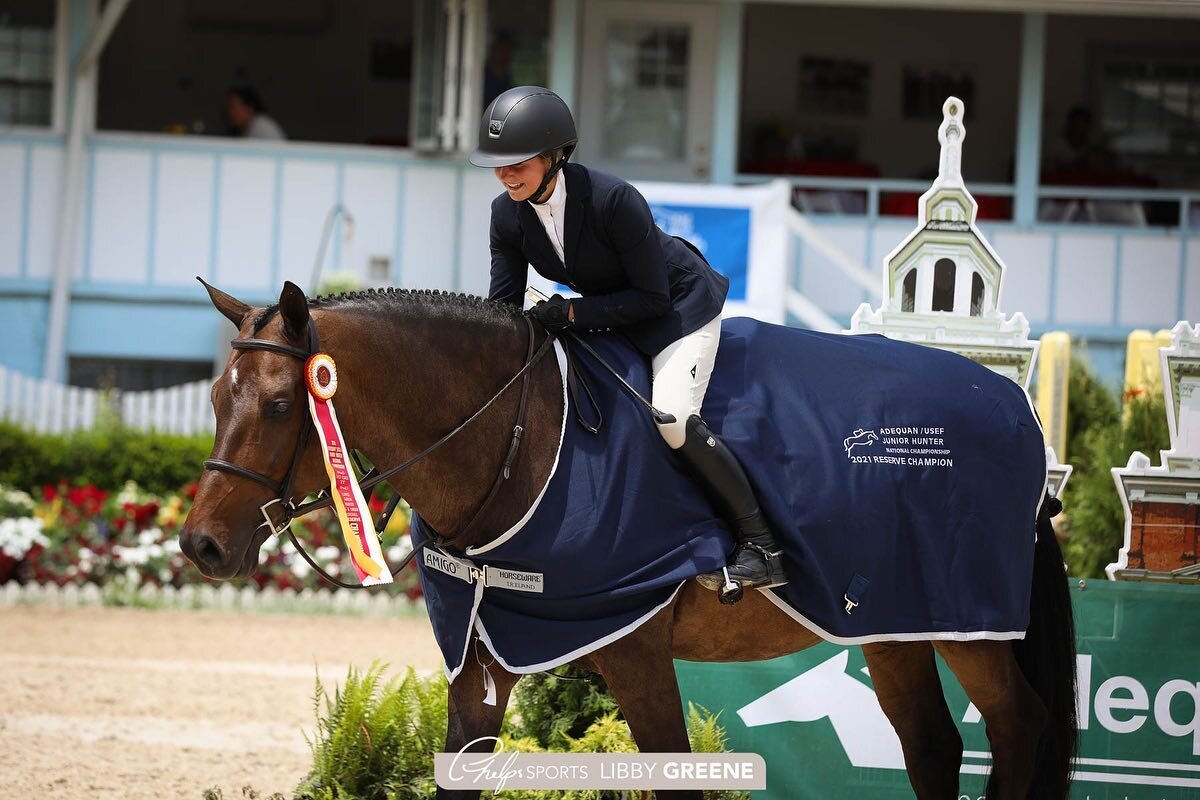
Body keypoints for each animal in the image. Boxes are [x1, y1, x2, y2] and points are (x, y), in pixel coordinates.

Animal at [177, 281, 1080, 800]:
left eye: (282, 405)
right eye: (219, 395)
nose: (202, 547)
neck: (518, 442)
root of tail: (1015, 409)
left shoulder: (636, 648)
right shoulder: (486, 650)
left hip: (971, 626)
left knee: (1019, 727)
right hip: (892, 625)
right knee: (931, 746)